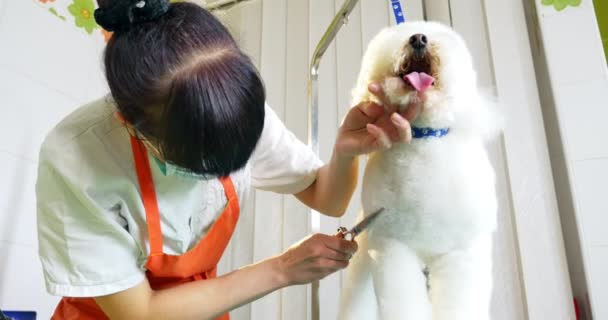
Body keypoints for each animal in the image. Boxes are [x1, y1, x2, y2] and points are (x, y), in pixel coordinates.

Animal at [338, 21, 498, 318]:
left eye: (437, 35)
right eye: (400, 34)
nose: (419, 39)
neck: (423, 139)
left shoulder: (461, 252)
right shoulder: (391, 248)